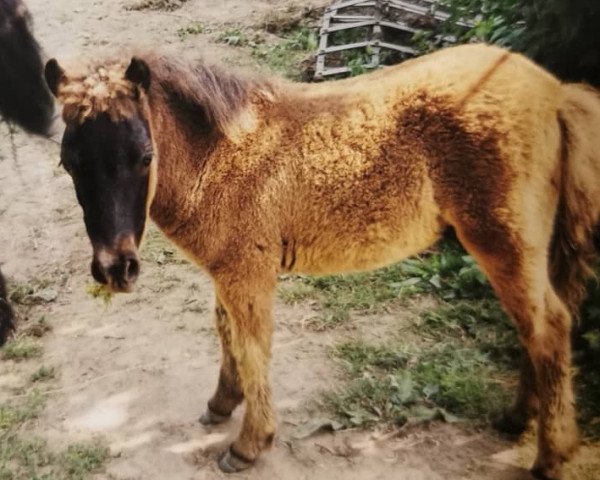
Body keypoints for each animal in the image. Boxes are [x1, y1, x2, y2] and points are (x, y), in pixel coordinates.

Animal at [44, 43, 600, 478]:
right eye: (68, 163)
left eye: (144, 156)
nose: (115, 270)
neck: (222, 156)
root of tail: (556, 93)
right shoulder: (227, 271)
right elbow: (227, 334)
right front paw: (222, 404)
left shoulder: (248, 273)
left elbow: (252, 346)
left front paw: (249, 446)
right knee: (537, 326)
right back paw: (518, 420)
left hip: (504, 240)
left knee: (549, 326)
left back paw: (552, 454)